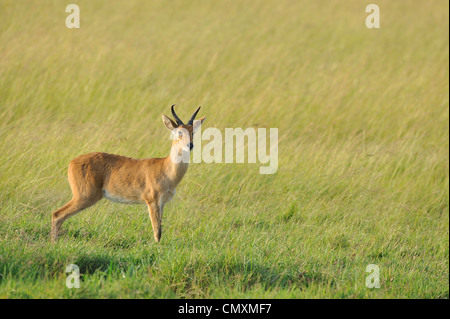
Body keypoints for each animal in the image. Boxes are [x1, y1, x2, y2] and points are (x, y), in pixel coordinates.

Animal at [50, 106, 206, 244]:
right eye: (179, 132)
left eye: (193, 132)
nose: (190, 145)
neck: (166, 168)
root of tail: (72, 162)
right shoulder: (152, 201)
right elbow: (157, 230)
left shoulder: (162, 203)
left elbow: (160, 229)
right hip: (85, 196)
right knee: (57, 214)